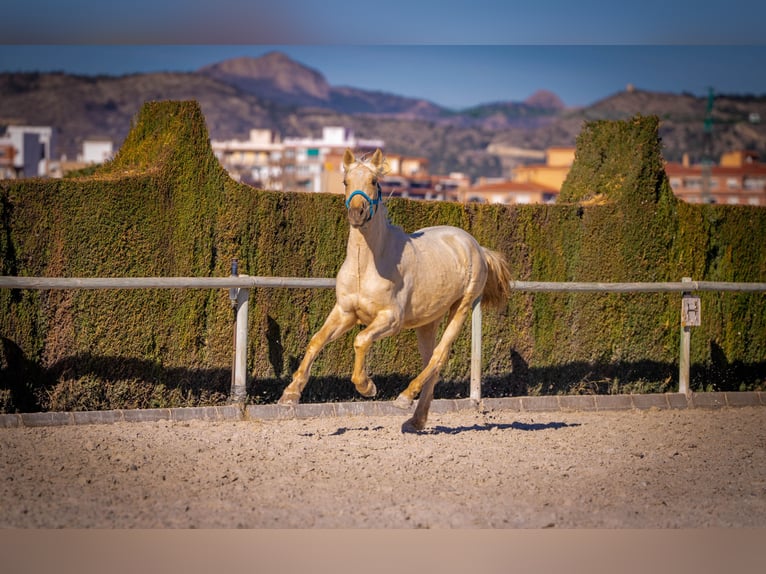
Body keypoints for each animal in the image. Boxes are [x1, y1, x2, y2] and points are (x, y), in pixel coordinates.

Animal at [280, 148, 512, 432]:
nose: (357, 213)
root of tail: (475, 246)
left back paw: (404, 398)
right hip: (429, 320)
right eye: (346, 182)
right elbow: (316, 341)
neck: (368, 265)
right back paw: (416, 419)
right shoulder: (345, 313)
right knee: (431, 362)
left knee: (439, 356)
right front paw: (290, 395)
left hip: (462, 307)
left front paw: (367, 386)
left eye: (374, 181)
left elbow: (360, 340)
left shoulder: (391, 319)